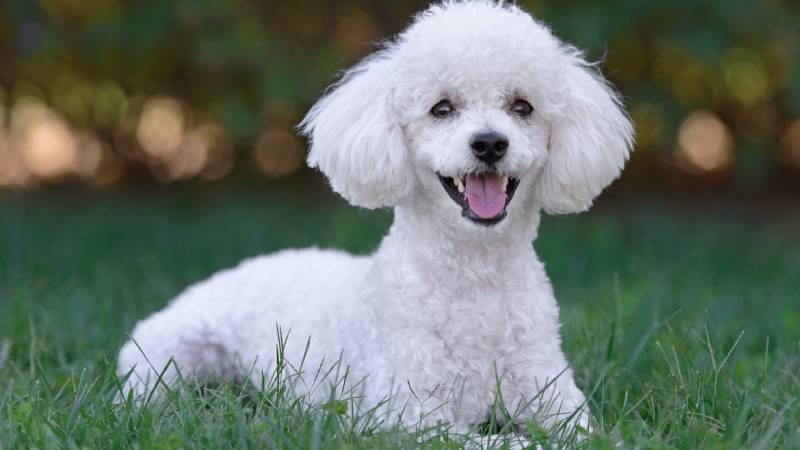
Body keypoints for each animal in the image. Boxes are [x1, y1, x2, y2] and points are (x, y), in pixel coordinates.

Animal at [117, 0, 632, 436]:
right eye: (442, 108)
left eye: (522, 106)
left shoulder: (552, 395)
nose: (489, 143)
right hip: (168, 356)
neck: (475, 280)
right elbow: (506, 442)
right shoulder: (414, 417)